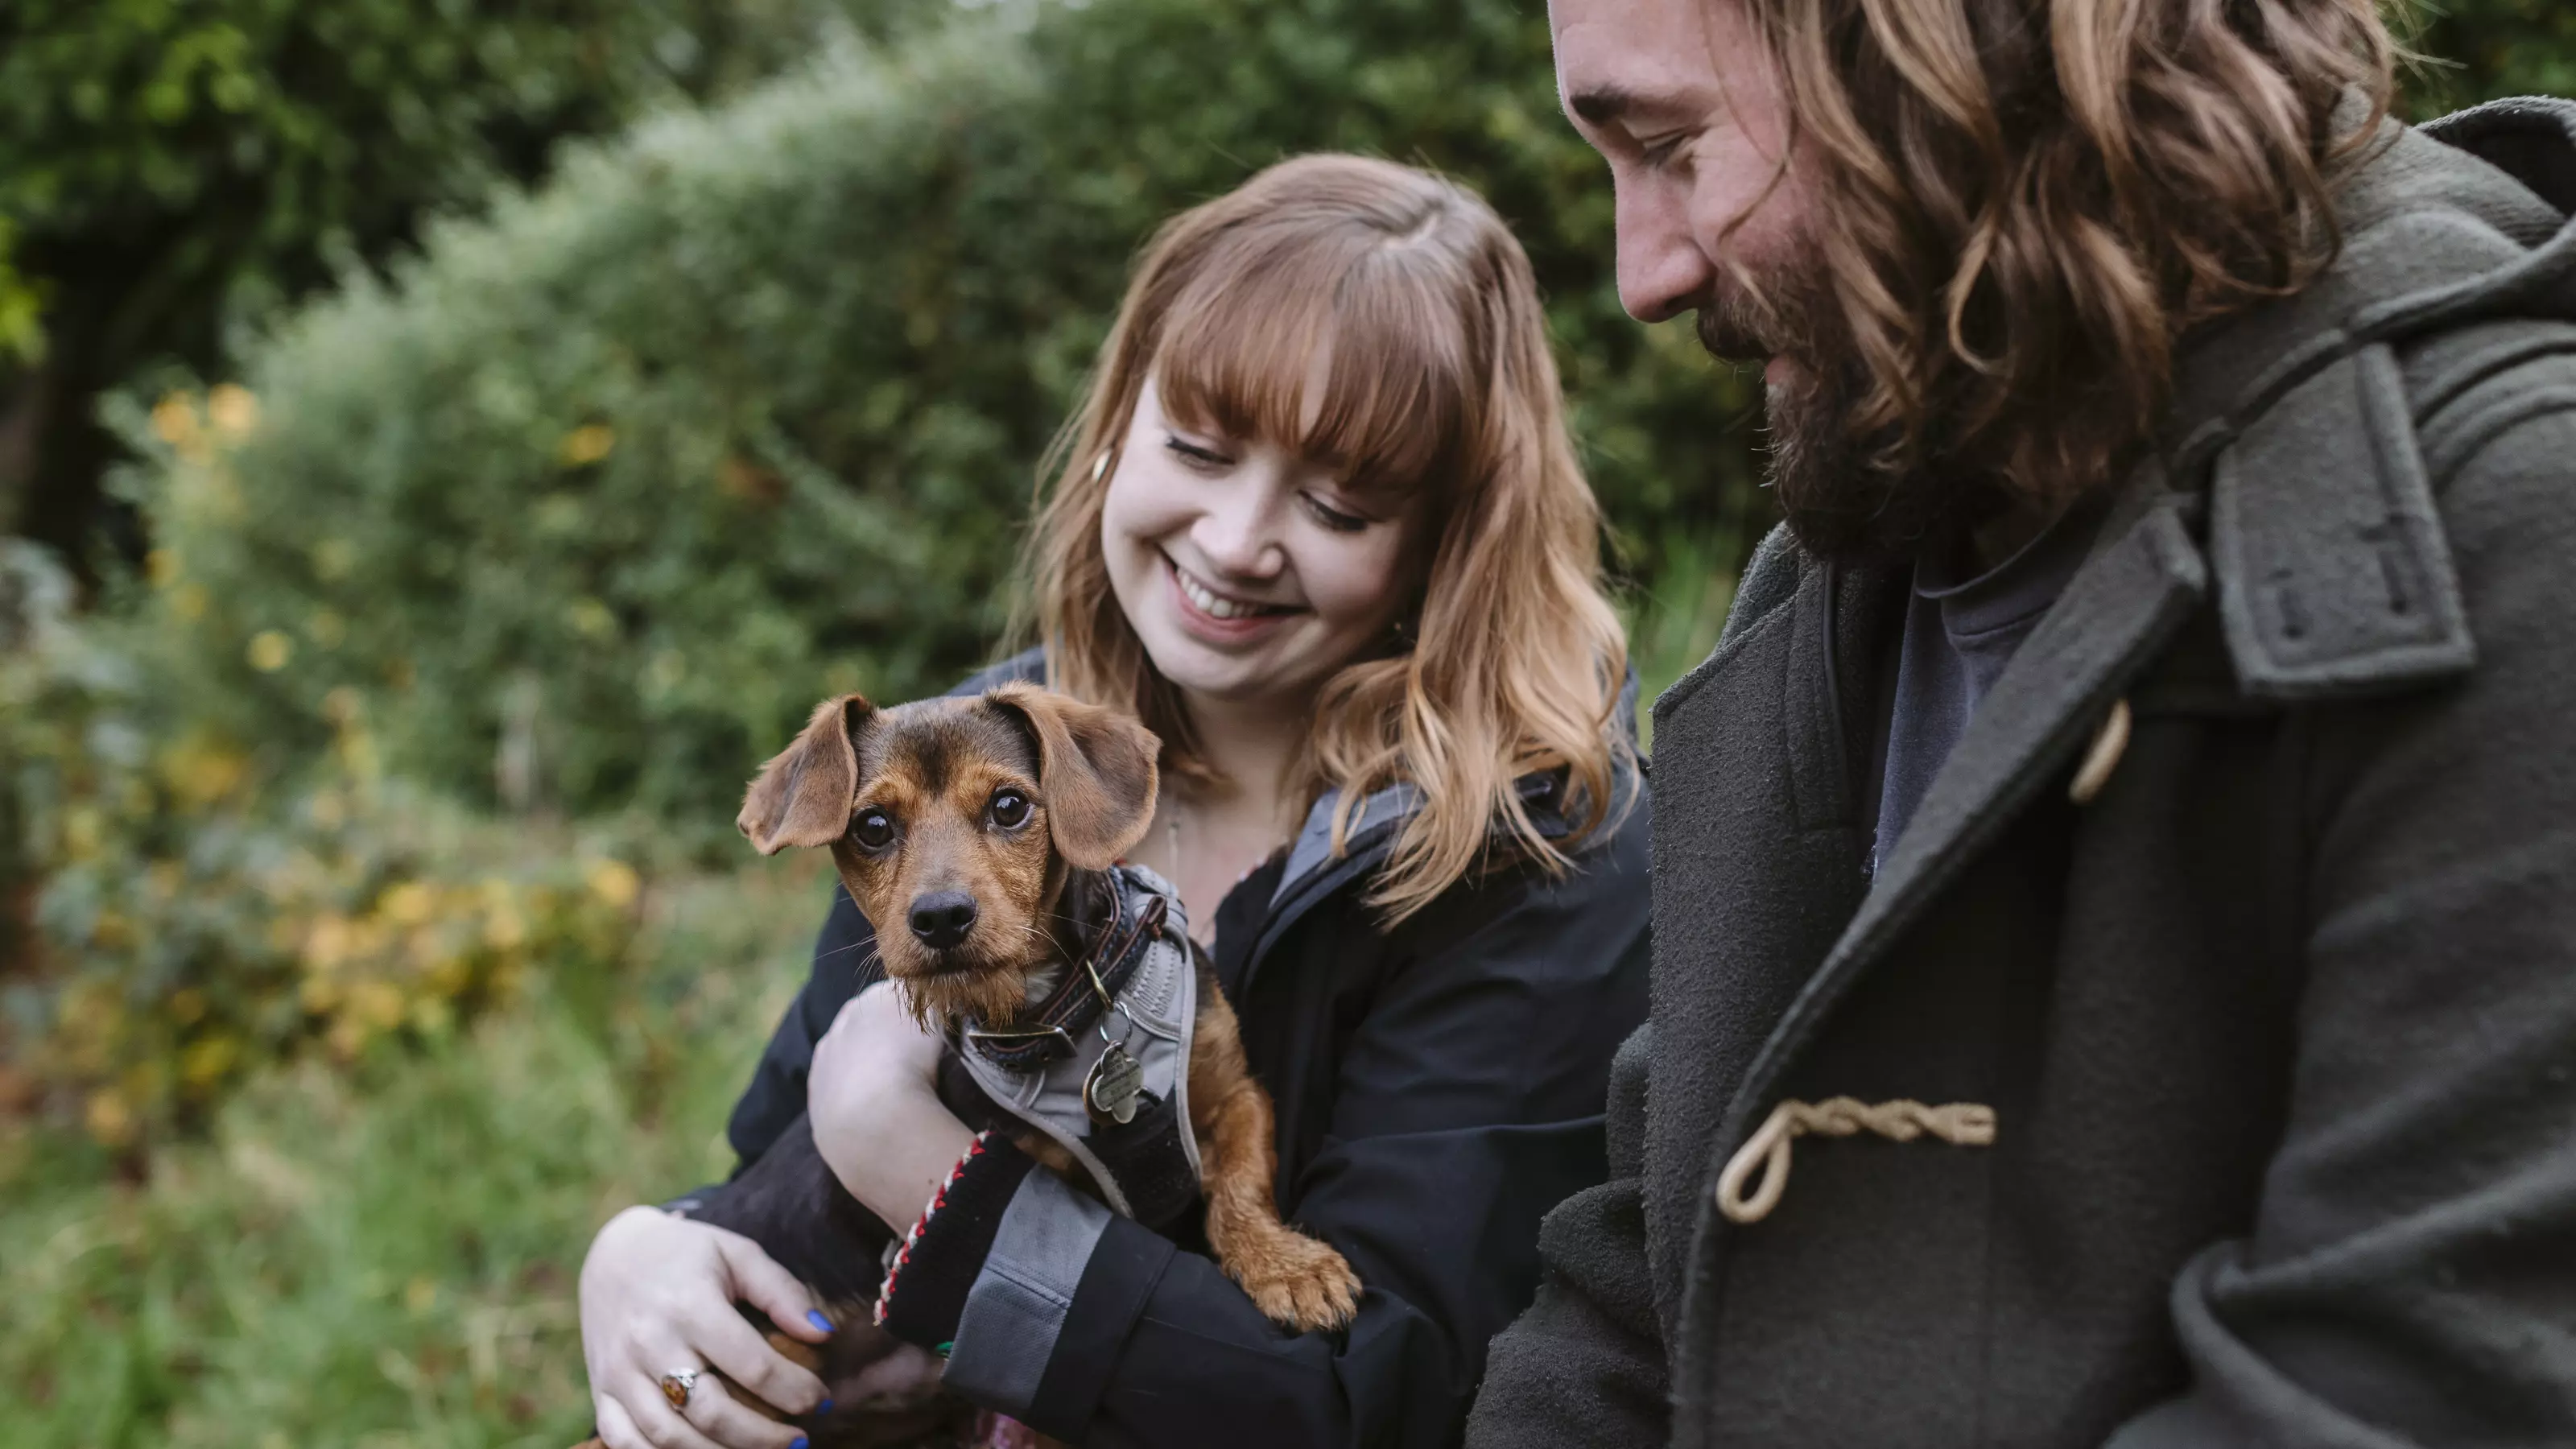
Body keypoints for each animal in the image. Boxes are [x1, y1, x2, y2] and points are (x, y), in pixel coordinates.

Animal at [580, 680, 1349, 1443]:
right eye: (872, 826)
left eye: (1009, 807)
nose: (941, 917)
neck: (1062, 1010)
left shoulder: (1237, 1093)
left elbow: (1241, 1185)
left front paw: (1287, 1266)